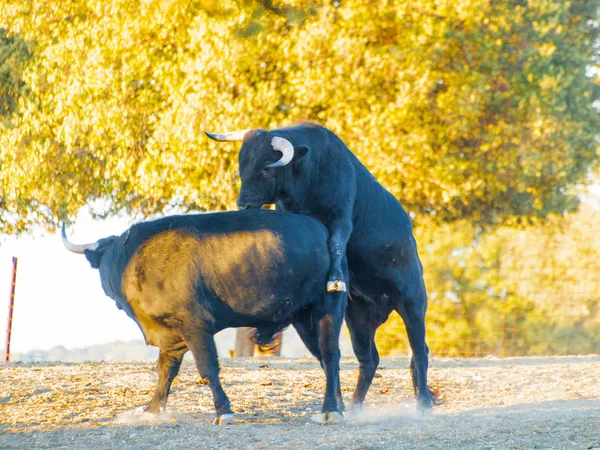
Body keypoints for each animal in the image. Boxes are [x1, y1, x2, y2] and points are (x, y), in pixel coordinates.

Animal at [62, 209, 344, 424]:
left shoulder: (195, 326)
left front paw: (223, 411)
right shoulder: (171, 336)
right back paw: (341, 405)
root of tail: (321, 229)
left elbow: (207, 367)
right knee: (325, 359)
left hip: (327, 307)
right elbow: (166, 370)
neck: (133, 259)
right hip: (303, 318)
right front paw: (153, 410)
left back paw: (331, 409)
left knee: (330, 355)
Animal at [209, 123, 438, 414]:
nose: (243, 204)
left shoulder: (341, 217)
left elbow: (337, 243)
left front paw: (336, 279)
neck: (310, 173)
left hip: (413, 302)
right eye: (242, 165)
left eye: (265, 169)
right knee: (368, 360)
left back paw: (423, 404)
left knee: (419, 351)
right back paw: (352, 406)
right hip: (358, 320)